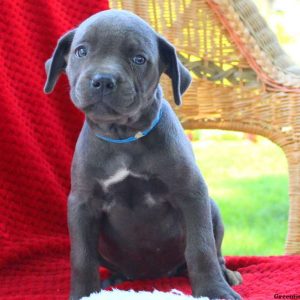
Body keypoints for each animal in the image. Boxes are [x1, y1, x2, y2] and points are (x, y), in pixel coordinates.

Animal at [44, 9, 241, 300]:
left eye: (139, 59)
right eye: (81, 51)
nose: (103, 81)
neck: (123, 137)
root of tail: (151, 276)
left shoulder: (192, 193)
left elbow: (201, 247)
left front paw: (214, 290)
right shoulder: (82, 203)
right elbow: (81, 256)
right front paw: (83, 293)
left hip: (212, 208)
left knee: (213, 253)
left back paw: (226, 275)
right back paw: (112, 280)